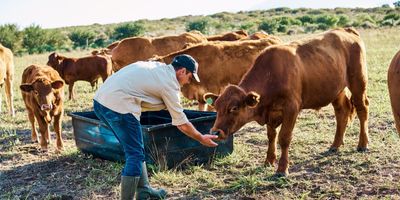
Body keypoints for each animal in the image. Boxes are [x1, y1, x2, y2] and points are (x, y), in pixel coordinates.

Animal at [205, 27, 370, 176]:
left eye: (234, 108)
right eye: (216, 107)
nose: (215, 132)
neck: (271, 75)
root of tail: (346, 30)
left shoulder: (291, 109)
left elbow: (284, 138)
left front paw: (282, 169)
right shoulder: (271, 112)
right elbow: (271, 136)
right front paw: (269, 161)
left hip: (358, 83)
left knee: (362, 109)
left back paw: (363, 144)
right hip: (336, 90)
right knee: (342, 112)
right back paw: (335, 145)